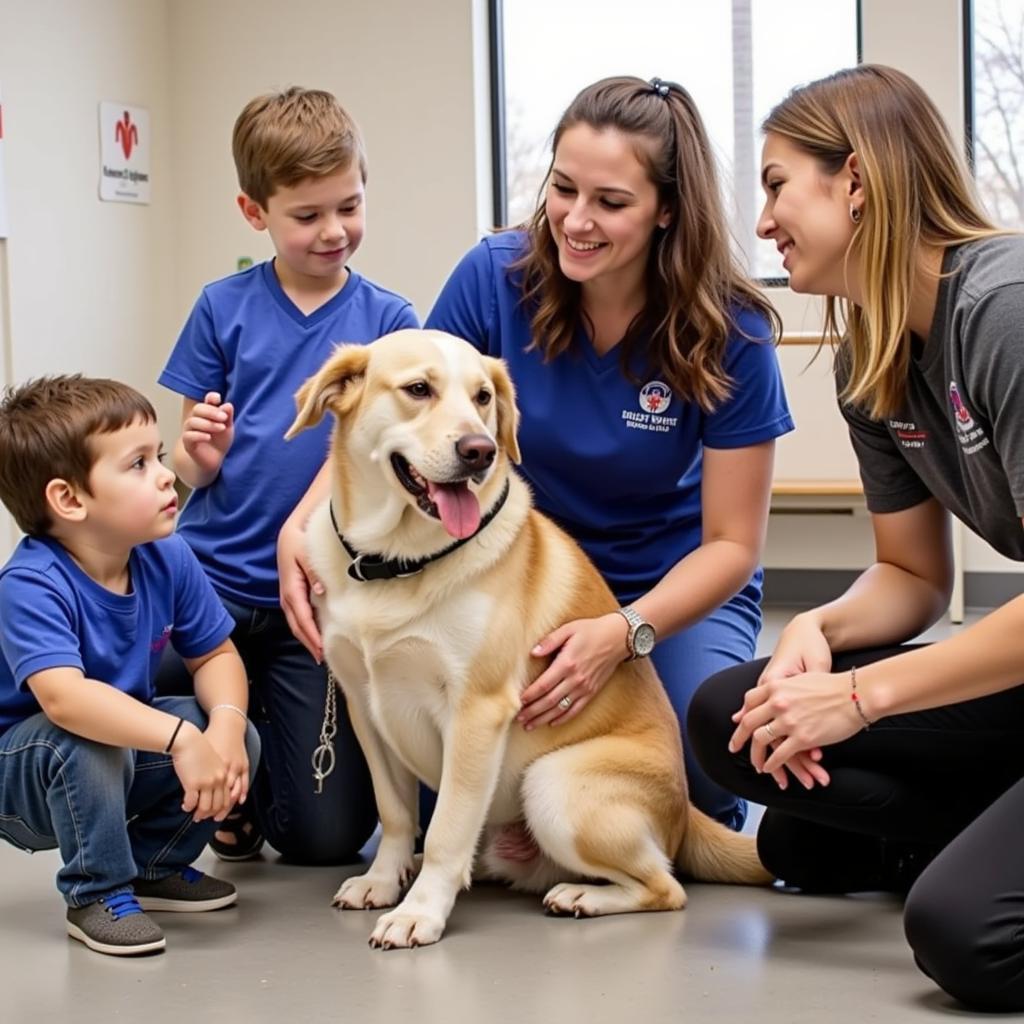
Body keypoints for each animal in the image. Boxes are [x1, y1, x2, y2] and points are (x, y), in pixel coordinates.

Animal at [286, 329, 770, 950]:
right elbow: (396, 812)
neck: (397, 563)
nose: (479, 450)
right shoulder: (364, 705)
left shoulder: (477, 711)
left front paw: (421, 912)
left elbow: (445, 830)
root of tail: (685, 814)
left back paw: (582, 896)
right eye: (418, 389)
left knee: (666, 887)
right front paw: (383, 879)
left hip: (552, 784)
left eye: (483, 397)